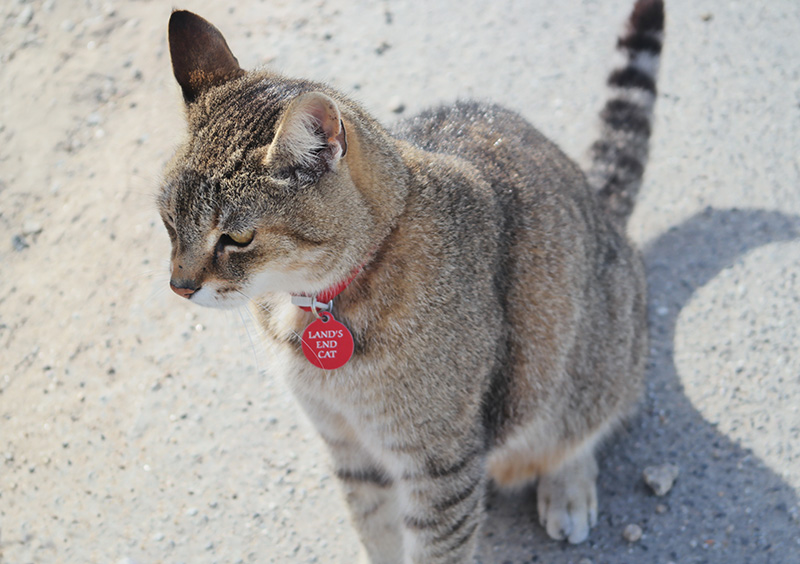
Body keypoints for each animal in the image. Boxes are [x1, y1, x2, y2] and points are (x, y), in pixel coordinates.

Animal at [158, 2, 664, 560]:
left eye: (237, 239)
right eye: (168, 222)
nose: (179, 285)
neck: (317, 301)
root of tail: (597, 201)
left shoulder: (438, 465)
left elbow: (434, 547)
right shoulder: (349, 447)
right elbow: (376, 533)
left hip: (595, 355)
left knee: (582, 426)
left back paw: (567, 487)